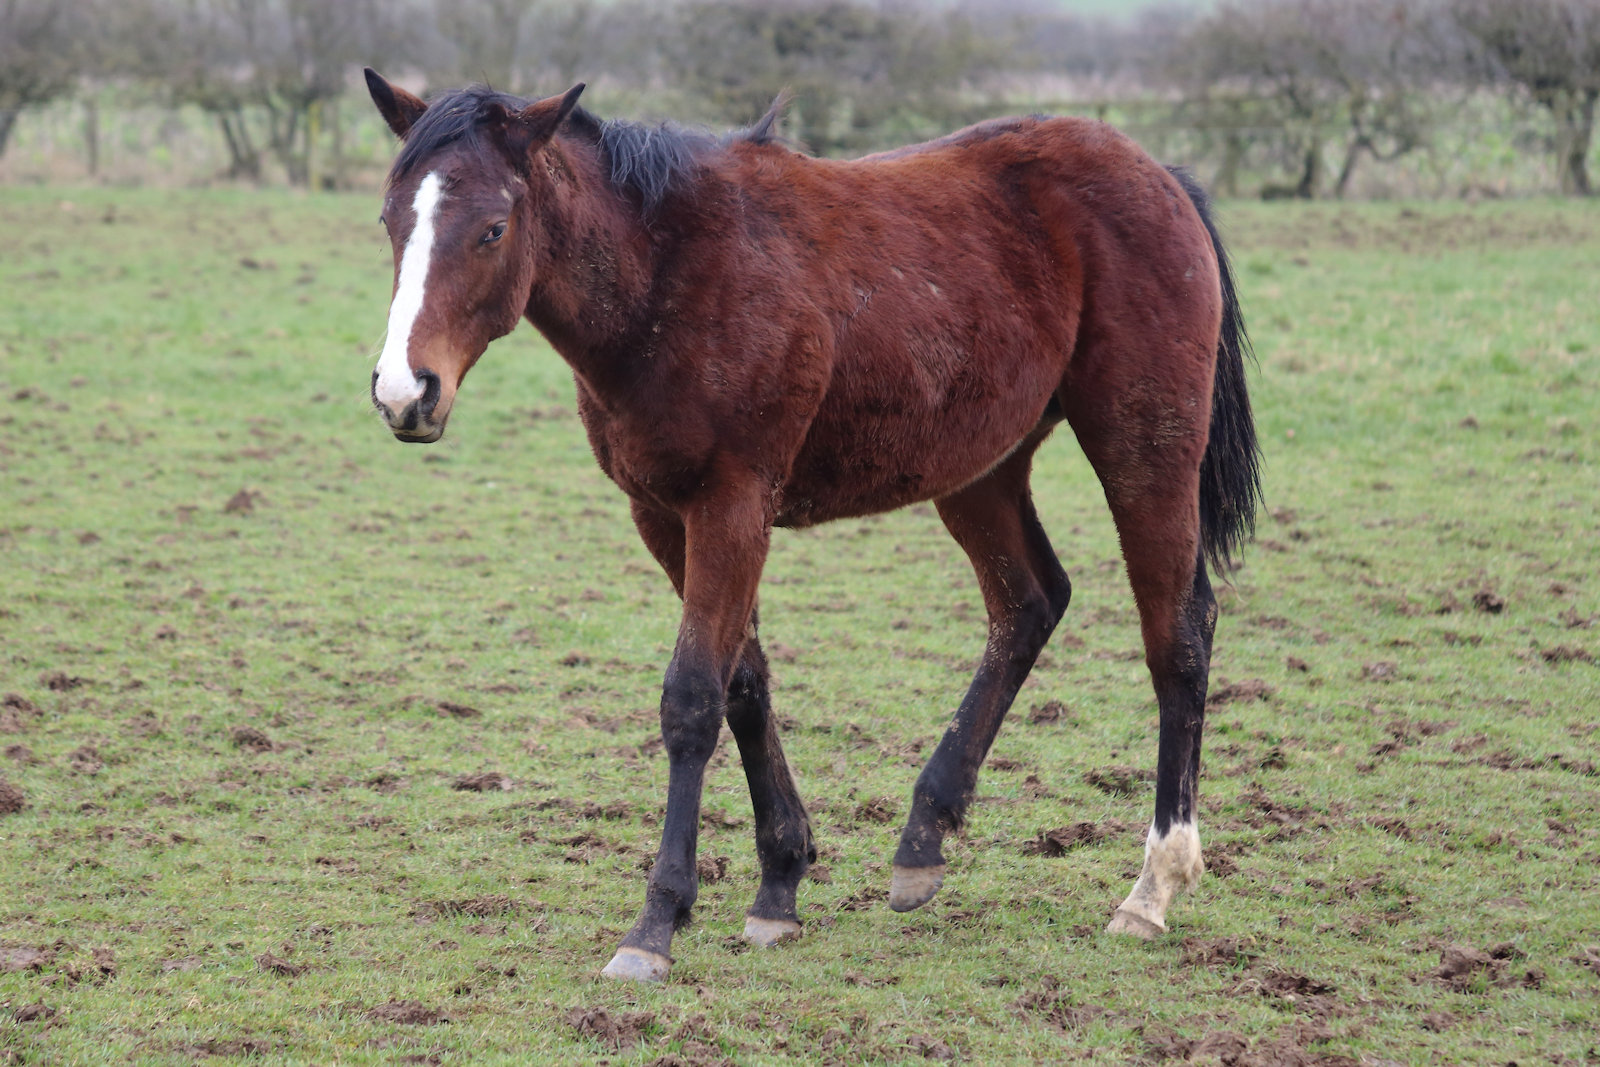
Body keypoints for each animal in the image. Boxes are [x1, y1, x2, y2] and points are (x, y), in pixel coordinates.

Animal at [361, 68, 1261, 982]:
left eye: (493, 227)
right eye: (391, 219)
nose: (405, 393)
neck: (669, 275)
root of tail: (1156, 174)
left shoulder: (732, 506)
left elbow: (693, 699)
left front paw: (656, 921)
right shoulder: (664, 516)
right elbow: (744, 686)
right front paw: (779, 883)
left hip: (1144, 451)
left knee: (1177, 635)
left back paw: (1152, 886)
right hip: (980, 471)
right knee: (1030, 604)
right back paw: (923, 835)